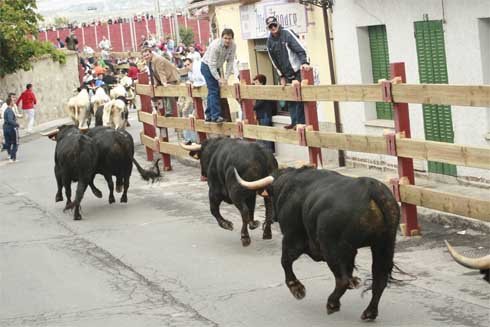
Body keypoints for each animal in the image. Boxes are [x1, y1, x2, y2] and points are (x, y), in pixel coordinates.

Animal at [235, 168, 400, 322]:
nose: (273, 217)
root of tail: (371, 188)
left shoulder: (292, 238)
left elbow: (285, 261)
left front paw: (297, 288)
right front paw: (354, 281)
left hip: (331, 247)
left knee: (342, 280)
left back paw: (332, 303)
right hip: (384, 245)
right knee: (379, 279)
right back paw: (369, 312)